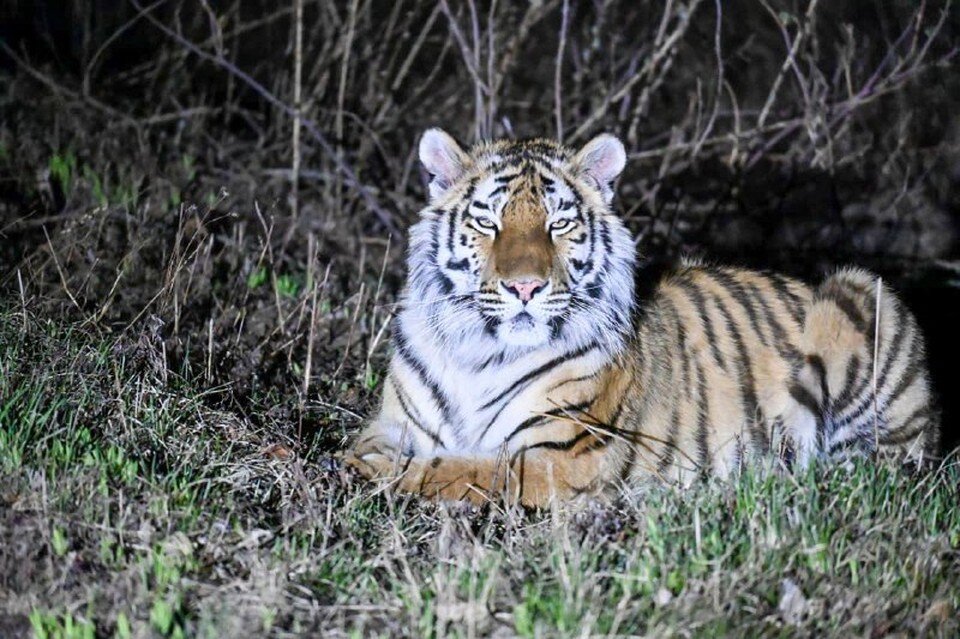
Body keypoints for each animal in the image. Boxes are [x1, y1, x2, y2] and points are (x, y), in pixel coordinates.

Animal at [344, 130, 936, 508]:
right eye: (487, 222)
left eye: (559, 224)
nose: (525, 287)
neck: (481, 350)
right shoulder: (391, 424)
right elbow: (371, 447)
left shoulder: (563, 457)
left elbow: (464, 470)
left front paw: (379, 476)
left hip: (860, 291)